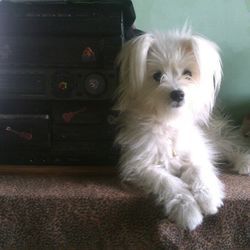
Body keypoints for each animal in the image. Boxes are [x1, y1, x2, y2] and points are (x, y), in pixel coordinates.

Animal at [114, 28, 250, 230]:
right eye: (157, 76)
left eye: (188, 73)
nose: (178, 94)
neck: (169, 120)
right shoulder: (141, 166)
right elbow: (168, 182)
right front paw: (187, 210)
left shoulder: (197, 150)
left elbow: (198, 169)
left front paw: (208, 197)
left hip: (214, 135)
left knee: (230, 143)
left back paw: (244, 161)